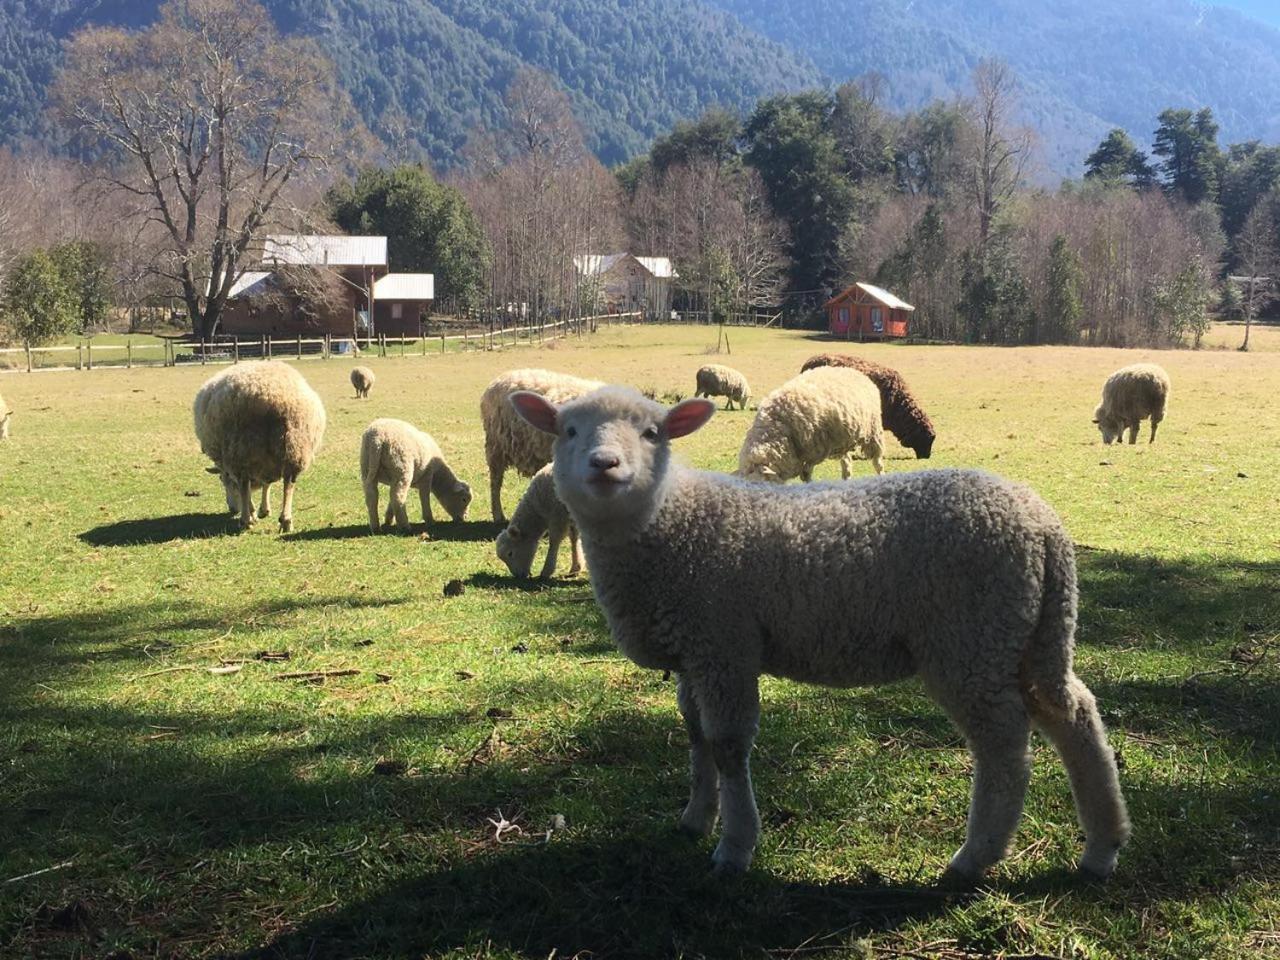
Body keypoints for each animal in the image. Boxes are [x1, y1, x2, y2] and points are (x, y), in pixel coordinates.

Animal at [193, 360, 327, 535]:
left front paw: (253, 512)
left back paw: (246, 520)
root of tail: (273, 397)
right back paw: (286, 520)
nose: (232, 509)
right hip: (295, 447)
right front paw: (264, 510)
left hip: (241, 448)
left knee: (244, 483)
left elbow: (246, 487)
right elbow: (267, 483)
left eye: (223, 480)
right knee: (289, 483)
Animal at [509, 386, 1131, 885]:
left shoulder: (725, 644)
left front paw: (734, 847)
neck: (667, 523)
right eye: (567, 430)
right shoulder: (696, 651)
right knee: (1073, 713)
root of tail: (1043, 526)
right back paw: (1101, 849)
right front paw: (695, 818)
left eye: (652, 432)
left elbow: (728, 746)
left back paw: (973, 859)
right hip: (1026, 632)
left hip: (970, 638)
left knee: (1004, 746)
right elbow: (697, 737)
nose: (605, 464)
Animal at [737, 371, 885, 488]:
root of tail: (856, 372)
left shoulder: (813, 452)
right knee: (847, 462)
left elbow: (806, 474)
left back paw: (881, 475)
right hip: (845, 440)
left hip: (873, 431)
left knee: (877, 462)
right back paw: (845, 479)